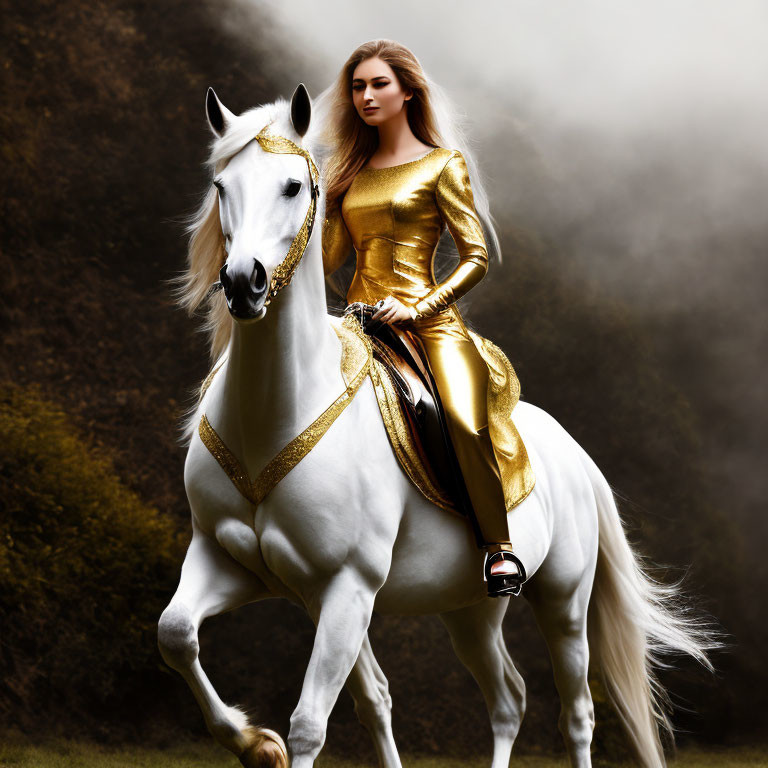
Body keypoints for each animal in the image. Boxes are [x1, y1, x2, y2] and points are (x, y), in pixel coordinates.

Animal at [159, 84, 716, 768]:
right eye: (221, 186)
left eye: (292, 186)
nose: (244, 283)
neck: (275, 413)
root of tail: (575, 455)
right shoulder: (242, 566)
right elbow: (178, 634)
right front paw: (256, 744)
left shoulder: (347, 586)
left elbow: (311, 723)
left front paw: (271, 742)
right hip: (468, 609)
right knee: (509, 697)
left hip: (563, 599)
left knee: (577, 712)